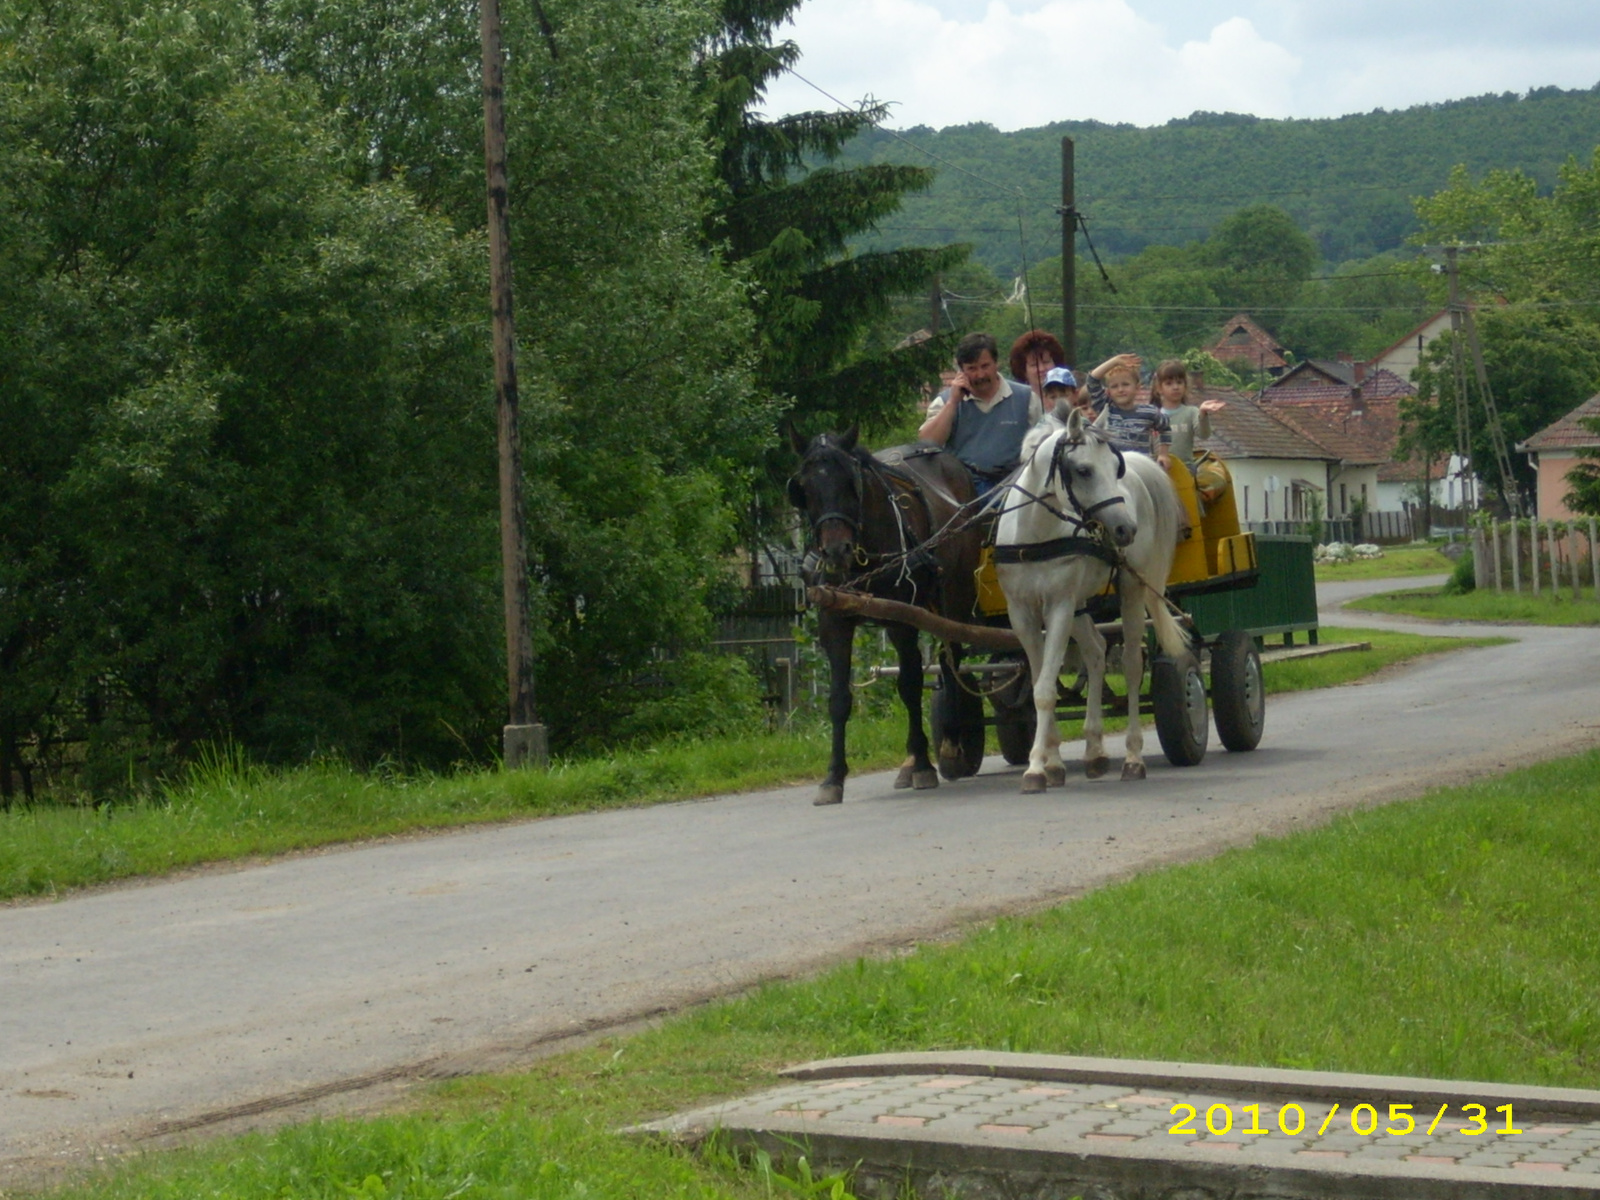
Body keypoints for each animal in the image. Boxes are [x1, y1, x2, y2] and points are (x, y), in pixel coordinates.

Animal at [787, 428, 985, 803]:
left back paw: (953, 741)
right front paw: (833, 778)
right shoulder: (833, 621)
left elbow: (909, 685)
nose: (835, 551)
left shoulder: (902, 620)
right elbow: (838, 698)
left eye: (852, 483)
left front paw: (922, 763)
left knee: (951, 658)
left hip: (955, 594)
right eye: (804, 487)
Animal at [992, 409, 1196, 793]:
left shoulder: (1058, 605)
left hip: (1129, 588)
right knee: (1097, 650)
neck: (1035, 535)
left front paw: (1035, 768)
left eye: (1114, 469)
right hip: (1080, 605)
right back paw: (1094, 751)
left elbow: (1045, 690)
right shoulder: (1022, 614)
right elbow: (1041, 683)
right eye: (1084, 470)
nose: (1125, 529)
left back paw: (1132, 758)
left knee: (1131, 665)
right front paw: (1052, 763)